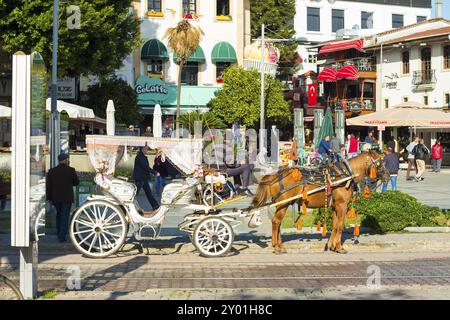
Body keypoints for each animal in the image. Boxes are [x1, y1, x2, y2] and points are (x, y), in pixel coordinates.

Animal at [251, 151, 388, 254]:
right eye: (380, 163)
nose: (387, 176)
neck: (345, 175)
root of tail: (273, 176)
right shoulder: (342, 205)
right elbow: (340, 226)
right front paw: (339, 247)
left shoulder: (335, 206)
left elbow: (335, 225)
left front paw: (332, 246)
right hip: (283, 204)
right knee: (276, 222)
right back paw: (276, 247)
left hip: (281, 204)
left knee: (278, 223)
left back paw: (280, 245)